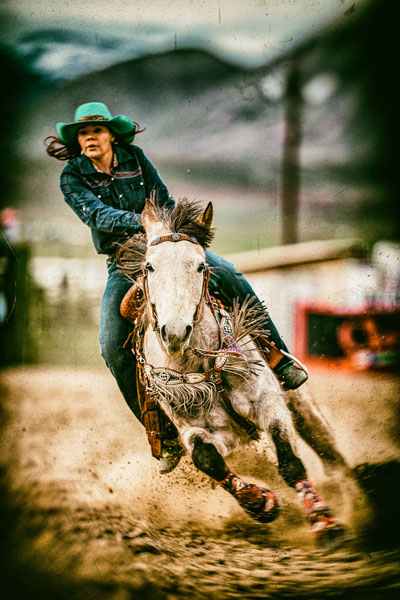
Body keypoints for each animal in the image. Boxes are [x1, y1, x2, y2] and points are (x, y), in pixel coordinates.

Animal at [117, 199, 348, 552]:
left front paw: (325, 521)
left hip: (301, 404)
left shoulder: (268, 402)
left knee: (330, 453)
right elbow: (207, 459)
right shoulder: (200, 428)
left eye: (201, 266)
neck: (203, 365)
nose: (174, 331)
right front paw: (260, 502)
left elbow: (289, 460)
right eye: (149, 267)